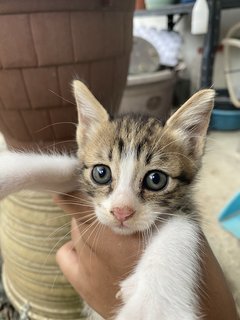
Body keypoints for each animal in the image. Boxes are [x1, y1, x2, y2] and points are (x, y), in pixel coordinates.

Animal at [0, 80, 214, 320]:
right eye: (101, 173)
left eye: (156, 179)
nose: (122, 211)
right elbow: (61, 168)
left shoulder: (186, 207)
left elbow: (181, 229)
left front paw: (153, 306)